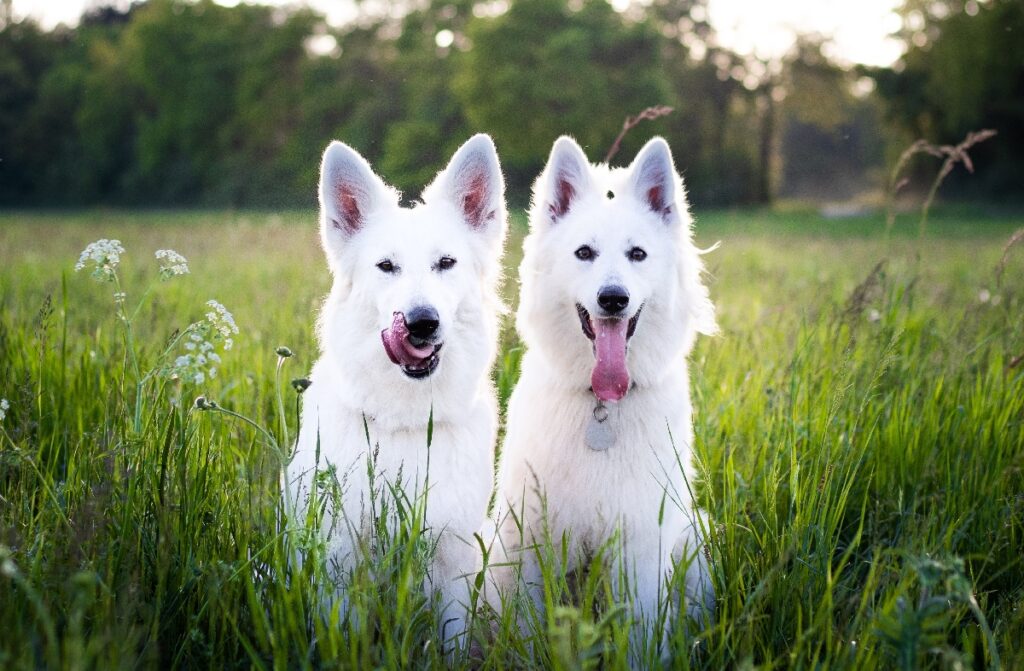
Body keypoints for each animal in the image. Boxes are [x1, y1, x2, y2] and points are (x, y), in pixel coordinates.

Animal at [284, 132, 507, 651]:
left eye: (446, 263)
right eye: (386, 266)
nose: (422, 322)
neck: (407, 423)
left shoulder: (453, 560)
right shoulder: (339, 561)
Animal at [491, 135, 716, 655]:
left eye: (637, 254)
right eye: (584, 253)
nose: (613, 298)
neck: (602, 408)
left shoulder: (641, 543)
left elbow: (640, 637)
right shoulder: (530, 539)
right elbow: (529, 630)